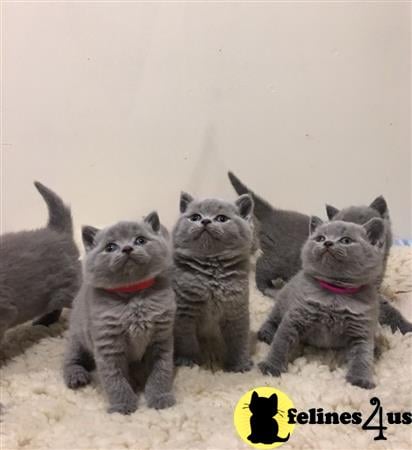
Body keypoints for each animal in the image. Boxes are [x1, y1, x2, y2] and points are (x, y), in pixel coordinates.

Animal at [63, 213, 176, 414]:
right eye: (110, 247)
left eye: (140, 240)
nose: (127, 248)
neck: (133, 296)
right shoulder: (108, 344)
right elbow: (114, 379)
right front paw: (123, 406)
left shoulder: (161, 339)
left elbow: (161, 370)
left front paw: (159, 397)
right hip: (77, 338)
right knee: (69, 359)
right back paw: (76, 376)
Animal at [171, 193, 254, 372]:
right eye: (195, 217)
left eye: (221, 218)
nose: (205, 221)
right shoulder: (184, 310)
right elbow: (187, 340)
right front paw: (189, 361)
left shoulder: (236, 309)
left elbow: (239, 339)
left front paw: (240, 365)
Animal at [260, 219, 386, 390]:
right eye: (320, 238)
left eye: (346, 240)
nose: (327, 242)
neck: (335, 293)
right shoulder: (296, 317)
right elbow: (281, 342)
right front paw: (272, 366)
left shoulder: (361, 329)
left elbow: (363, 355)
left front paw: (360, 379)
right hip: (283, 301)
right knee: (273, 318)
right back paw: (266, 332)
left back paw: (377, 349)